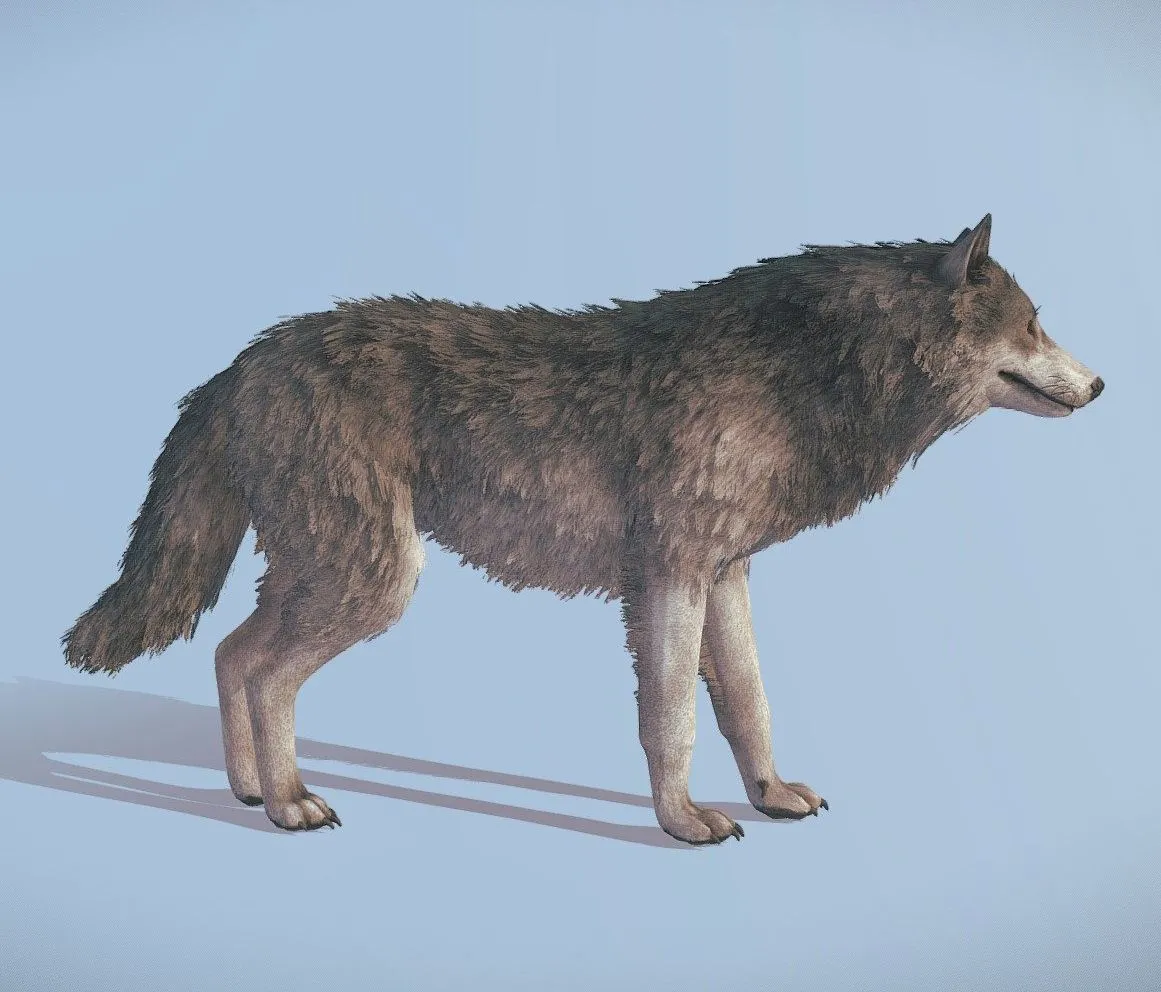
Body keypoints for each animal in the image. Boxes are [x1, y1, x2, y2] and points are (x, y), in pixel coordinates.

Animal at [62, 214, 1103, 844]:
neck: (798, 373)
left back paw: (247, 791)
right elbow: (672, 721)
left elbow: (748, 705)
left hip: (328, 572)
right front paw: (683, 822)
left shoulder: (725, 575)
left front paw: (769, 796)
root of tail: (242, 361)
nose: (1100, 386)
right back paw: (285, 801)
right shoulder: (669, 580)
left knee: (231, 655)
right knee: (265, 670)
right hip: (375, 582)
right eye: (1033, 325)